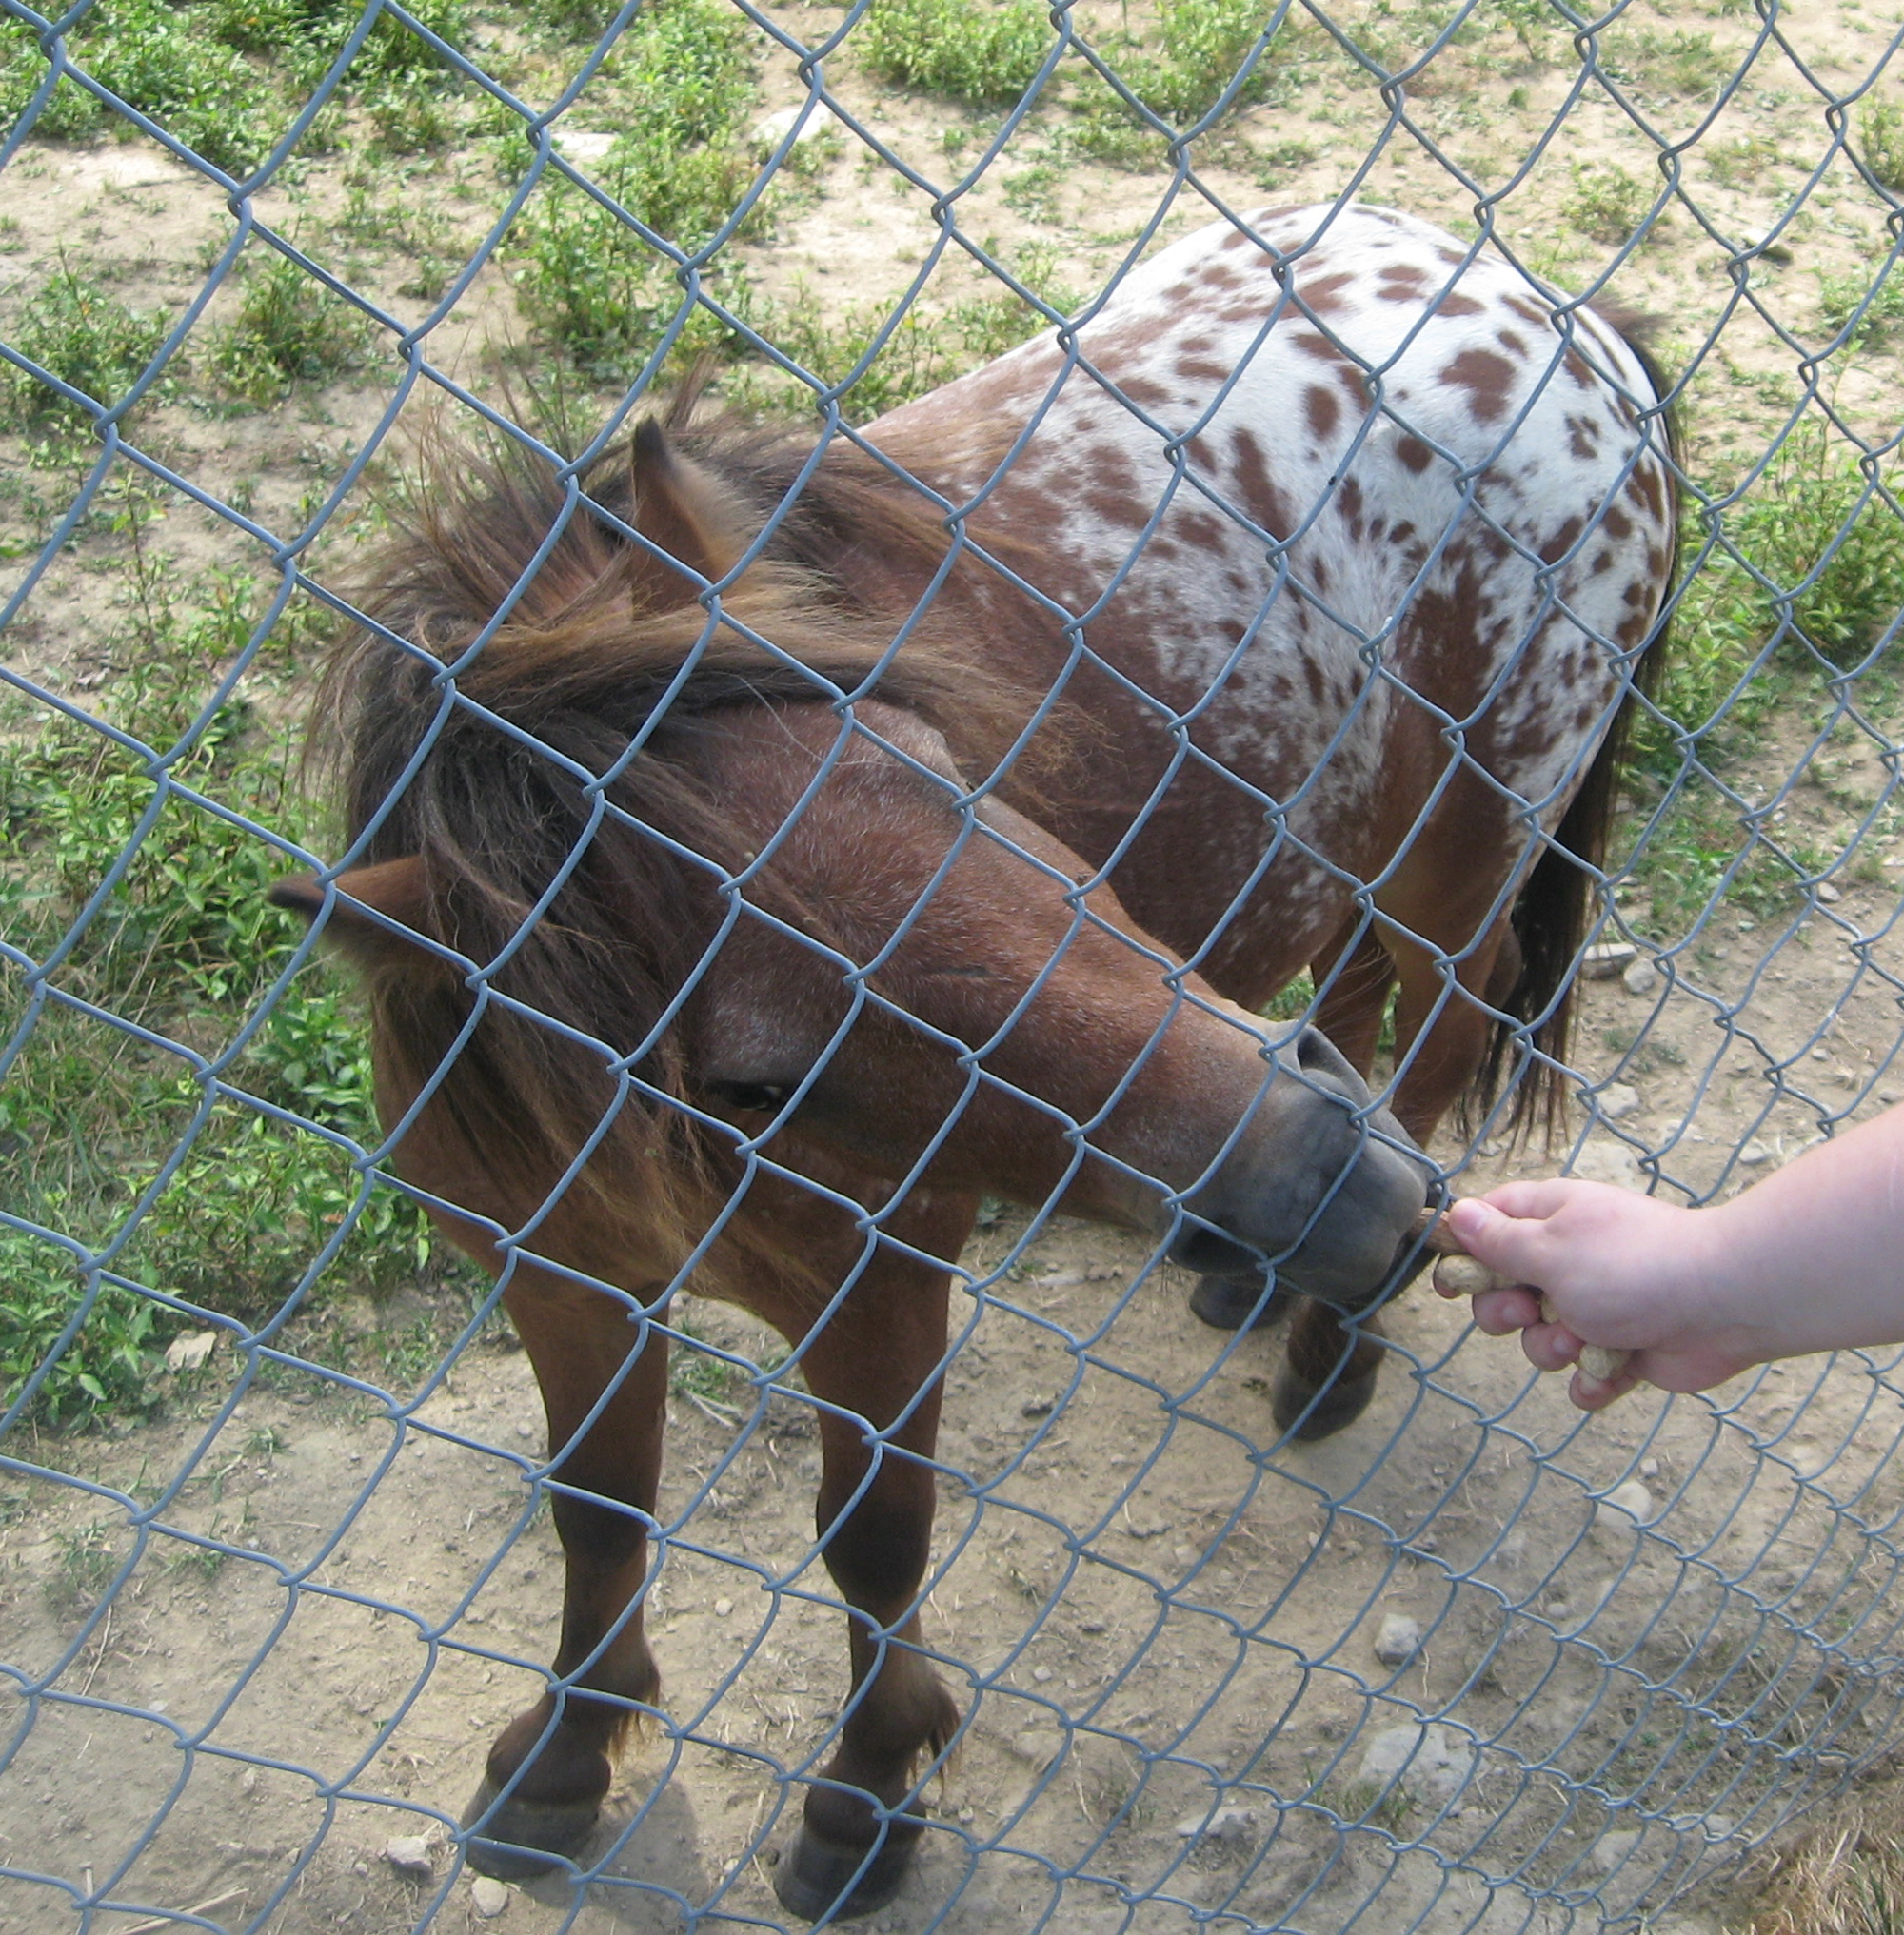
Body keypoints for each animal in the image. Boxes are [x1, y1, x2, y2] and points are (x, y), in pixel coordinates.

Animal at [274, 204, 1672, 1911]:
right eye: (748, 1072)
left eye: (949, 773)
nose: (1336, 1187)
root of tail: (1565, 320)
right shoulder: (564, 1280)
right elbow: (594, 1512)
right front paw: (561, 1760)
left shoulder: (881, 1285)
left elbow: (873, 1535)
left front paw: (865, 1801)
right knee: (1353, 984)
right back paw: (1277, 1287)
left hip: (1462, 846)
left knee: (1450, 1011)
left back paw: (1328, 1344)